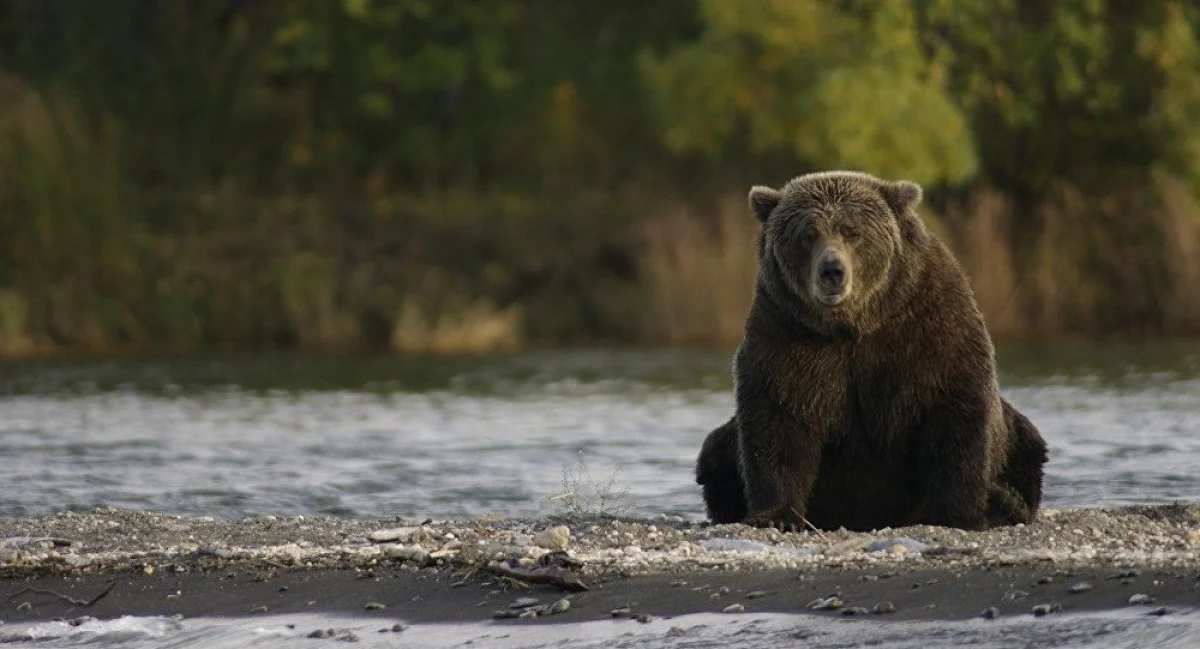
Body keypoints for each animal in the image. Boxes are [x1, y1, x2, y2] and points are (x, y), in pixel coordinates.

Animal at [700, 169, 1046, 527]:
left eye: (852, 231)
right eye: (808, 234)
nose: (832, 271)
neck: (853, 325)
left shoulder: (929, 326)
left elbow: (954, 414)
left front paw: (960, 514)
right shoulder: (786, 334)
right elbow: (778, 418)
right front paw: (776, 515)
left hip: (1016, 437)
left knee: (1027, 443)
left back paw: (1006, 502)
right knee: (715, 453)